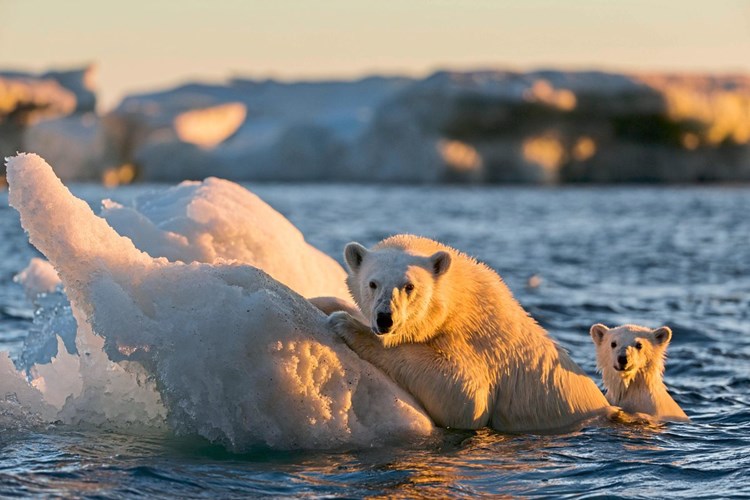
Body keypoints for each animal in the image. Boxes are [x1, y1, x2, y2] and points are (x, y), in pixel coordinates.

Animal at [332, 235, 612, 434]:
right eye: (372, 283)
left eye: (409, 286)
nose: (384, 319)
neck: (461, 302)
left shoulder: (479, 346)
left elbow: (466, 396)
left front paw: (346, 323)